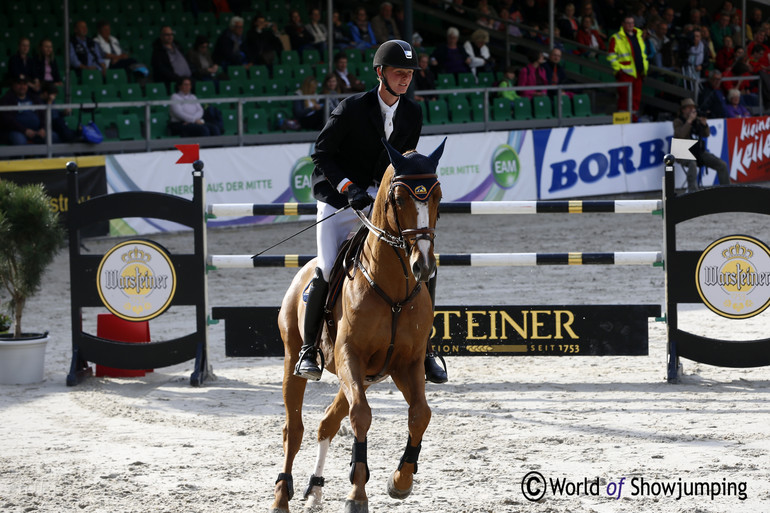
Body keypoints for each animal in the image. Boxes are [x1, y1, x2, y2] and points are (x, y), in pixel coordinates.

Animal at [268, 137, 444, 512]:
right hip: (294, 360)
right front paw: (357, 493)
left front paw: (400, 481)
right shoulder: (351, 355)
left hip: (363, 377)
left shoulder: (405, 364)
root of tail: (301, 274)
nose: (423, 265)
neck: (393, 290)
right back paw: (281, 495)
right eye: (399, 199)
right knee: (295, 429)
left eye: (437, 195)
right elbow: (362, 415)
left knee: (326, 423)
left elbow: (421, 414)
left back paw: (315, 489)